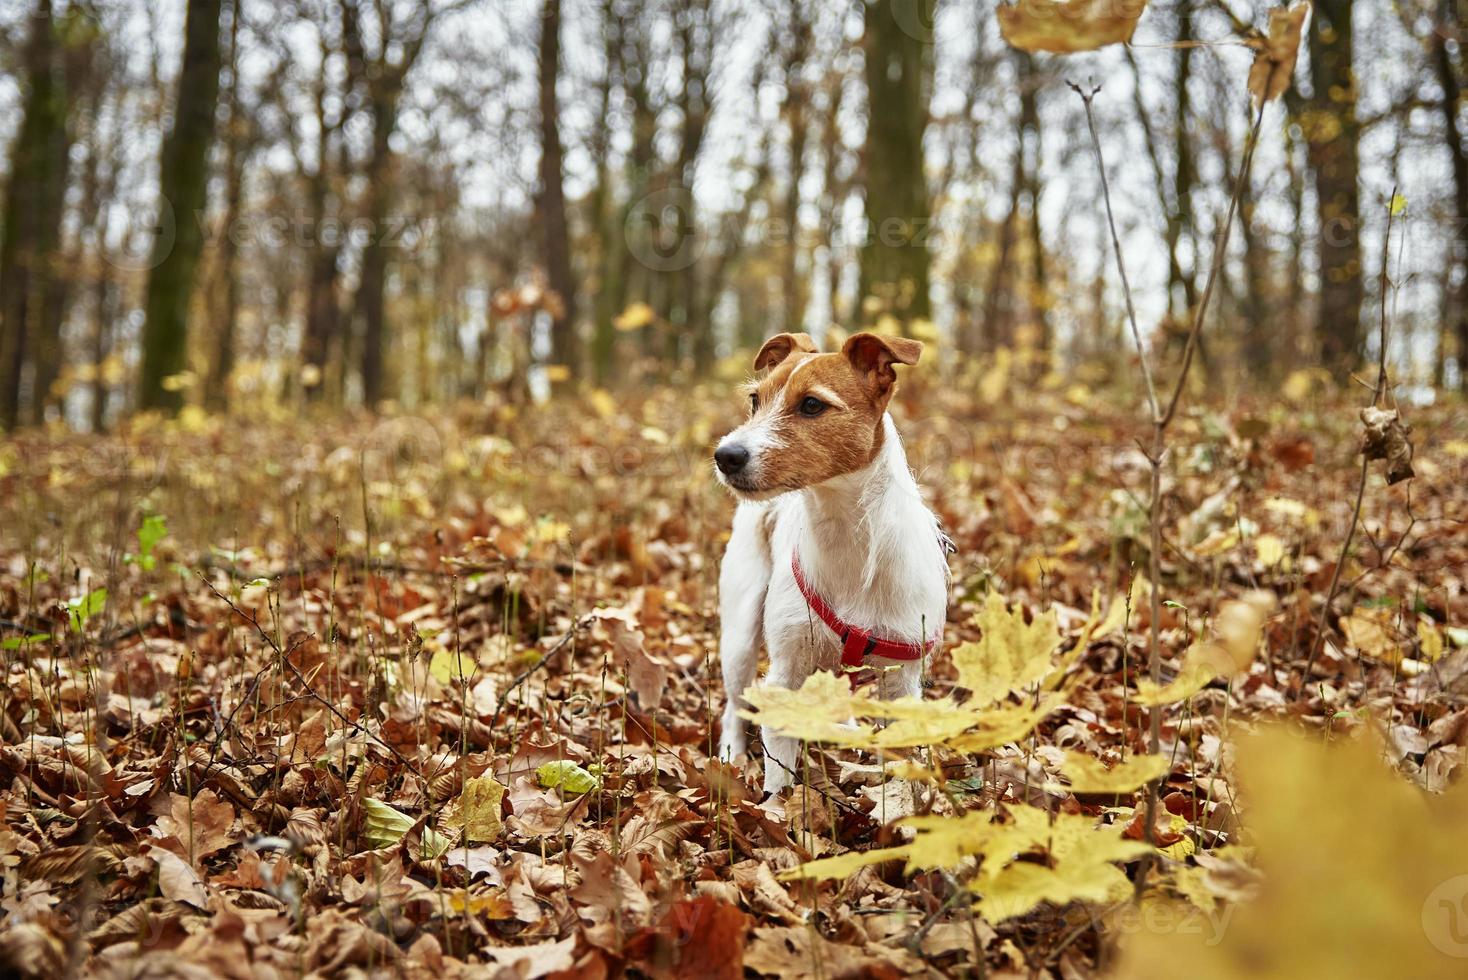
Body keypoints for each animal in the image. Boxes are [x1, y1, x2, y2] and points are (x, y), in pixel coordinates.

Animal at [713, 333, 951, 792]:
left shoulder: (902, 680)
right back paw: (732, 754)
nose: (725, 455)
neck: (846, 536)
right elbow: (779, 777)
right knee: (734, 705)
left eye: (811, 405)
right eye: (755, 400)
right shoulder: (785, 676)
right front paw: (778, 807)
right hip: (739, 632)